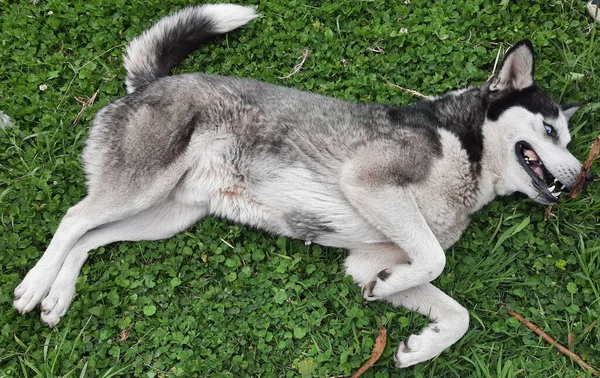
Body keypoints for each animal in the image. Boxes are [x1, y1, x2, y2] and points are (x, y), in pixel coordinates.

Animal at [12, 3, 592, 370]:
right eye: (548, 132)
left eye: (567, 138)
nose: (578, 178)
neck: (466, 150)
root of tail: (152, 82)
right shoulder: (371, 183)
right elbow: (435, 259)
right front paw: (401, 301)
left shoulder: (370, 255)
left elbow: (457, 311)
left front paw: (417, 342)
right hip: (141, 186)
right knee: (74, 218)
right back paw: (35, 286)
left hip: (166, 215)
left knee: (91, 236)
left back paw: (58, 297)